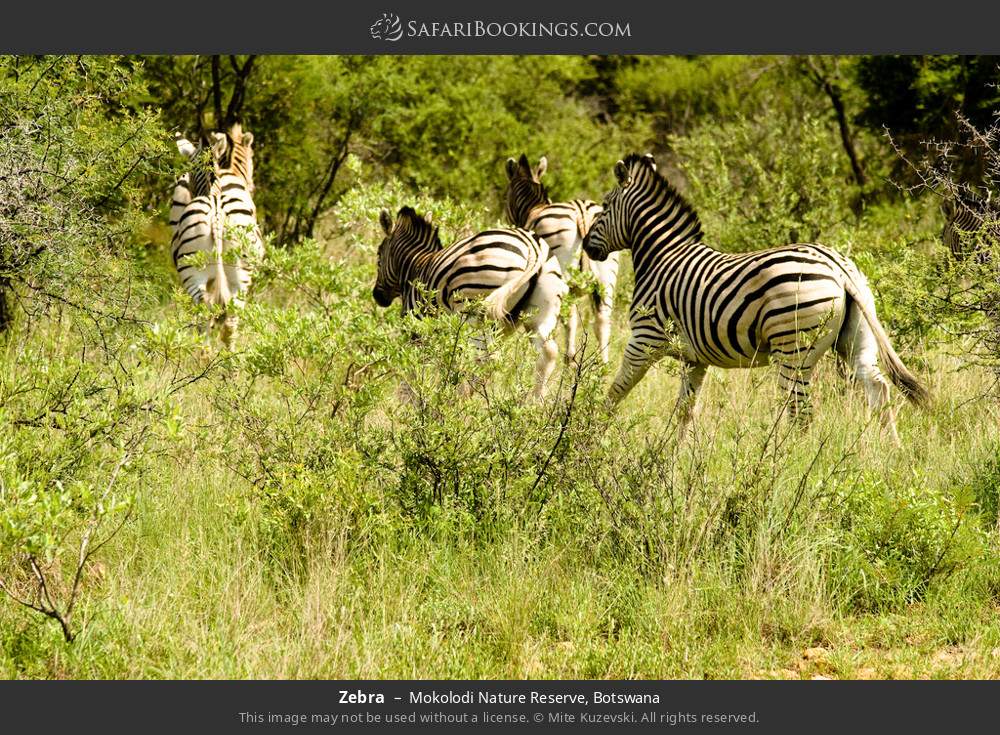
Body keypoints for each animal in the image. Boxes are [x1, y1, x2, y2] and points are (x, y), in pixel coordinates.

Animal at [170, 123, 264, 347]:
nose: (253, 185)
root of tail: (217, 215)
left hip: (209, 271)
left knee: (215, 315)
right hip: (226, 273)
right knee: (221, 317)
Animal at [372, 206, 567, 399]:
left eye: (379, 257)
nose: (377, 297)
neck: (414, 266)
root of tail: (532, 247)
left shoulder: (416, 324)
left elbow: (415, 364)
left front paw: (411, 399)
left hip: (475, 311)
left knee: (484, 359)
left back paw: (462, 401)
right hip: (541, 311)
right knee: (548, 353)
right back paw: (535, 402)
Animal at [504, 153, 621, 364]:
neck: (534, 209)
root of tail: (583, 212)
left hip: (564, 270)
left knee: (569, 316)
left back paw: (570, 360)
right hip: (606, 277)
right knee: (602, 319)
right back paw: (601, 365)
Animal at [581, 153, 928, 440]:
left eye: (605, 207)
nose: (586, 246)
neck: (662, 256)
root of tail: (839, 267)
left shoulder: (644, 338)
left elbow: (615, 391)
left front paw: (590, 435)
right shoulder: (695, 359)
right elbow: (685, 410)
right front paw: (670, 456)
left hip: (793, 349)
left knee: (801, 413)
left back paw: (788, 461)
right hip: (855, 337)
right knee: (878, 388)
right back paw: (890, 450)